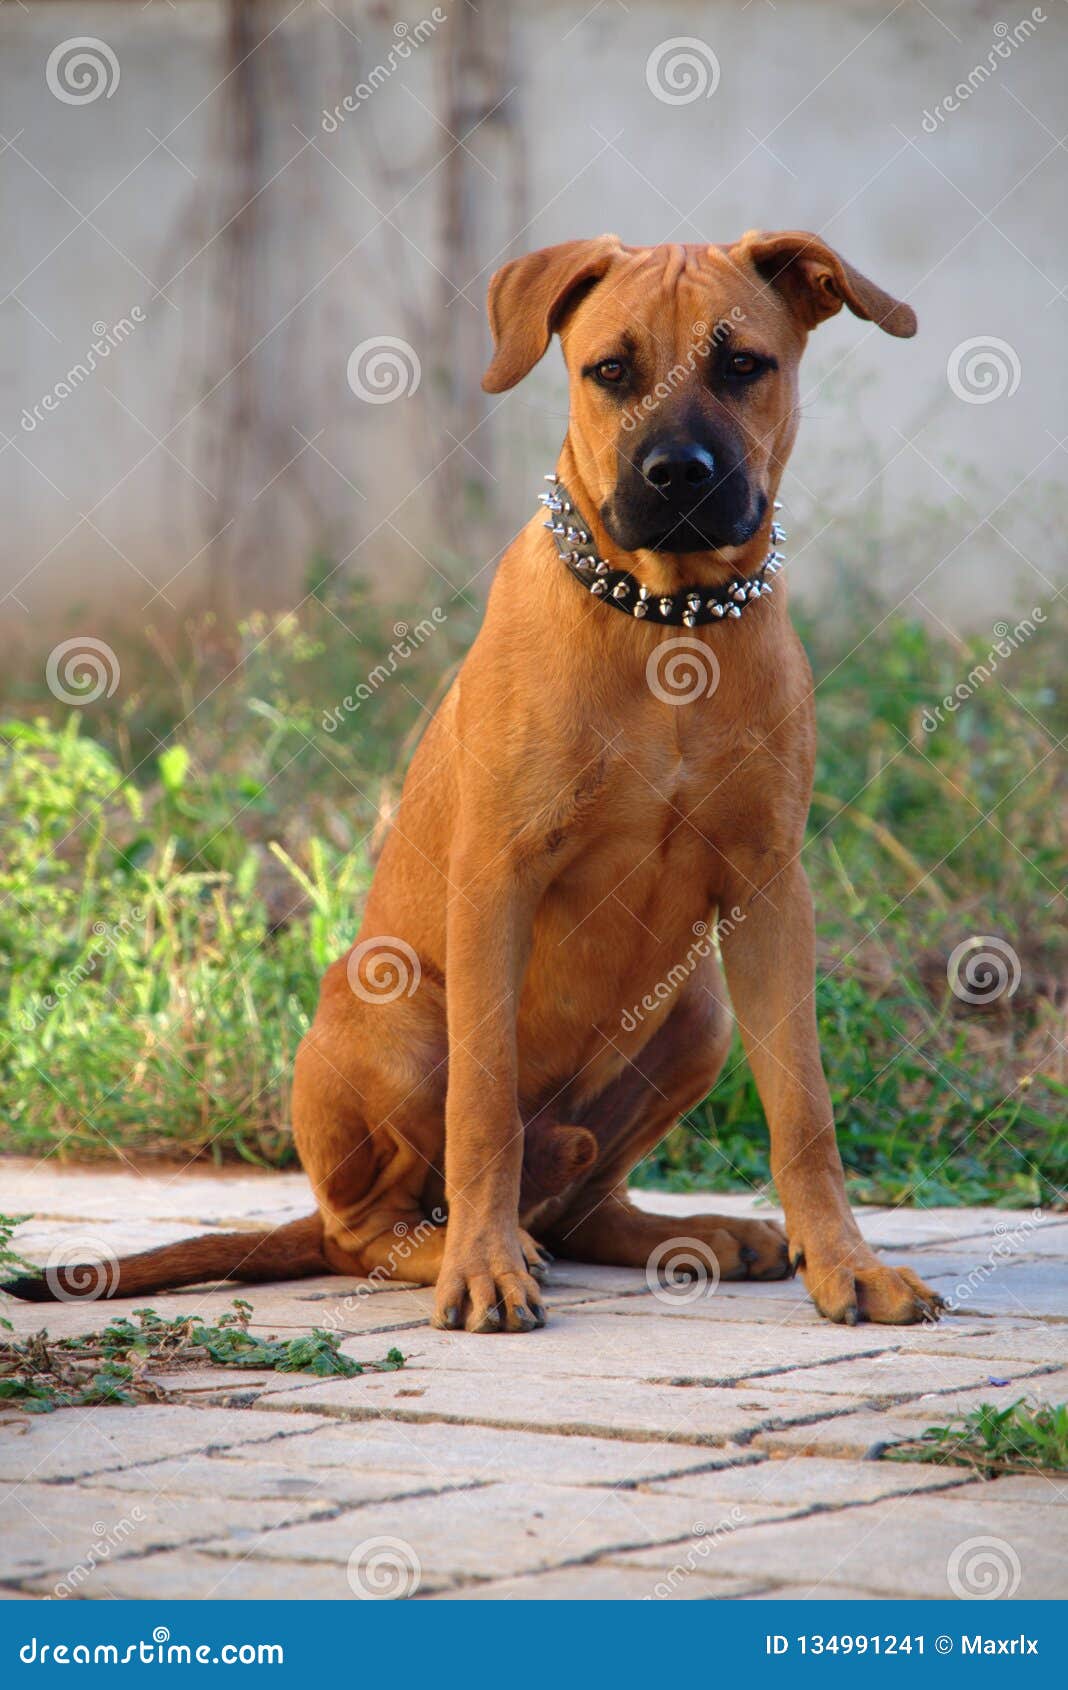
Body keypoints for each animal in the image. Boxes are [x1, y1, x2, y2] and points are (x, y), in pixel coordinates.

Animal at [10, 228, 939, 1331]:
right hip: (391, 1006)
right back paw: (463, 1245)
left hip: (700, 1014)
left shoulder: (769, 888)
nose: (676, 474)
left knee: (580, 1200)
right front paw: (485, 1270)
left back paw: (691, 1235)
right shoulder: (499, 877)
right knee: (372, 1228)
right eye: (610, 371)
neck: (666, 622)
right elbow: (484, 1106)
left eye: (744, 365)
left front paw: (845, 1263)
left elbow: (805, 1109)